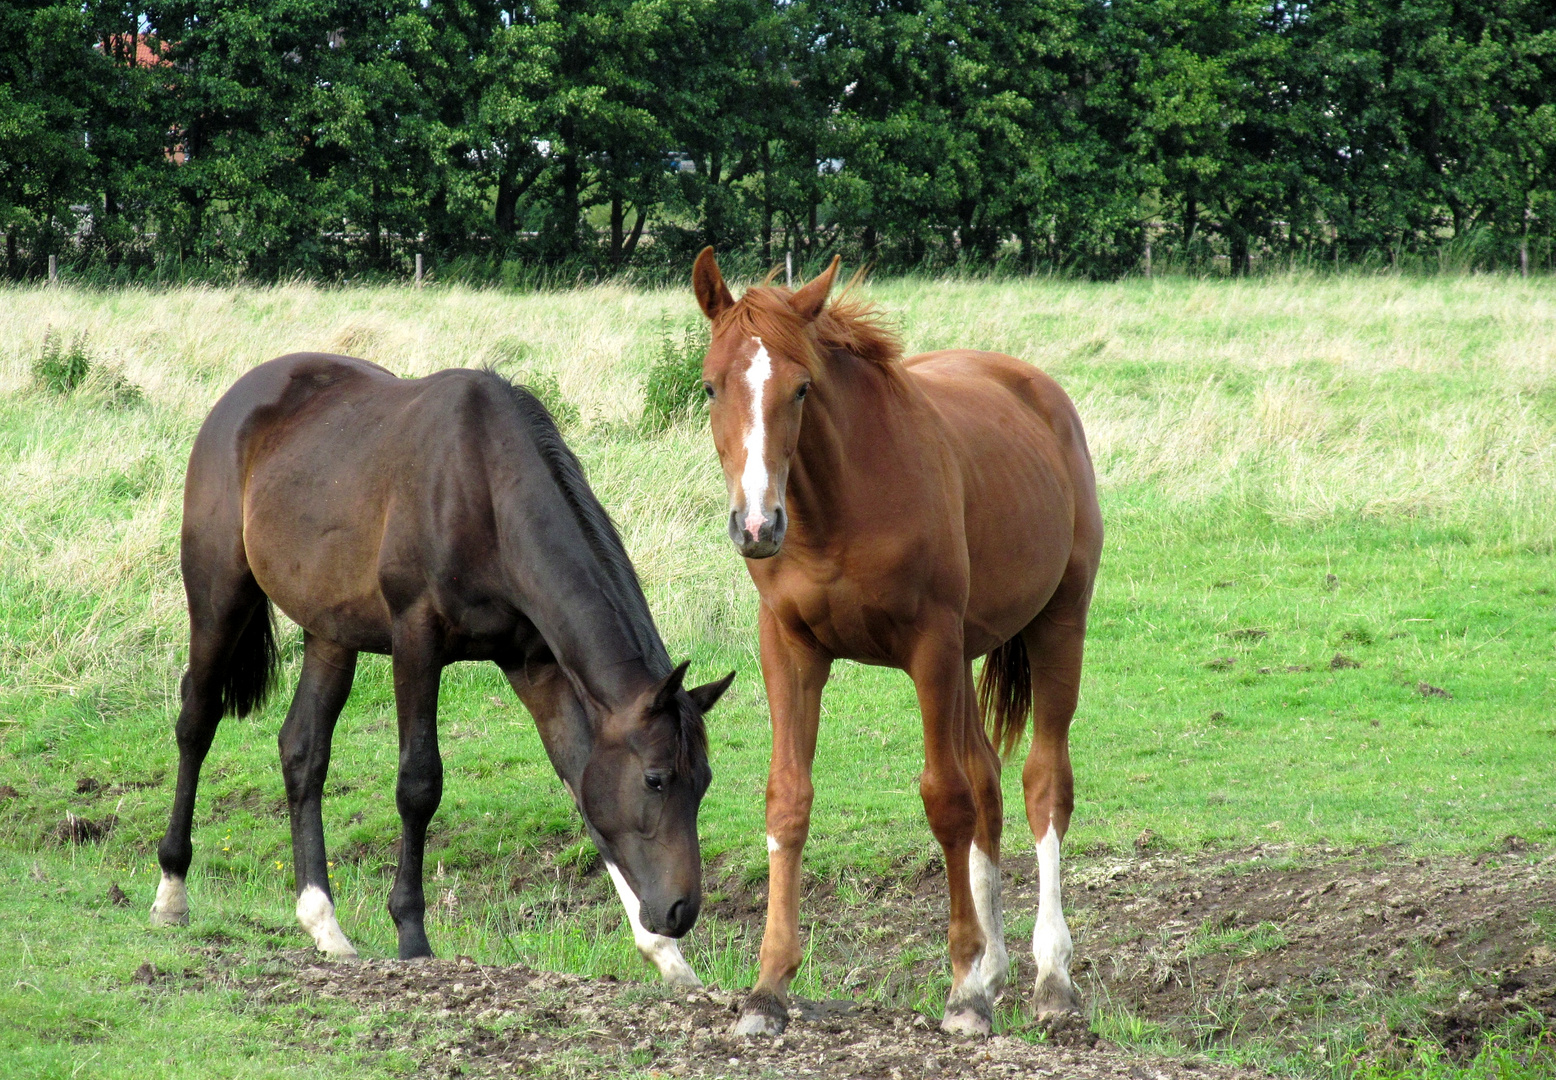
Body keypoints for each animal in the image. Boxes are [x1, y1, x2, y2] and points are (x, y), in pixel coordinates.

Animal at [148, 354, 731, 983]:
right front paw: (411, 933)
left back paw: (323, 923)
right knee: (196, 723)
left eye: (703, 781)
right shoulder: (416, 639)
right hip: (219, 598)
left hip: (331, 633)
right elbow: (419, 783)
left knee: (302, 751)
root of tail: (236, 401)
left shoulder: (536, 665)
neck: (484, 488)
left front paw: (664, 955)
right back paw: (172, 890)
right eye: (656, 779)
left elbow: (584, 784)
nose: (679, 910)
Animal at [693, 248, 1107, 1039]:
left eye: (800, 388)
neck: (837, 507)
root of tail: (1041, 392)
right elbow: (788, 799)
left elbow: (945, 800)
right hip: (972, 652)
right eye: (709, 385)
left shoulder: (930, 647)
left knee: (1043, 784)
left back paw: (1051, 979)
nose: (756, 526)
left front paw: (963, 994)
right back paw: (997, 966)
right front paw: (767, 990)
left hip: (1058, 626)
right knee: (990, 783)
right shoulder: (789, 649)